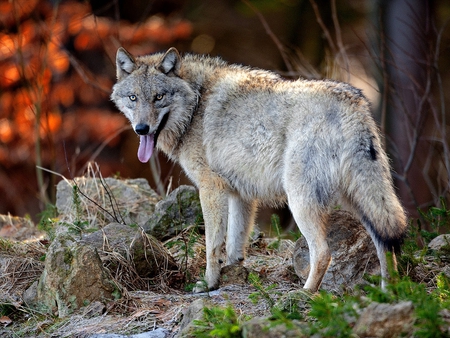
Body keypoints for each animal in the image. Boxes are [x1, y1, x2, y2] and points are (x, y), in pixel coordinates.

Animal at [111, 46, 408, 292]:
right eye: (133, 98)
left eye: (159, 97)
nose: (141, 129)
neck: (195, 104)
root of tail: (353, 103)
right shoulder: (240, 195)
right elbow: (234, 244)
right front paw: (232, 273)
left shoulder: (211, 189)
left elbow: (212, 246)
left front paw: (208, 284)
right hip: (361, 201)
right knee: (386, 245)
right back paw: (389, 293)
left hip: (301, 202)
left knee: (324, 252)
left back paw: (305, 294)